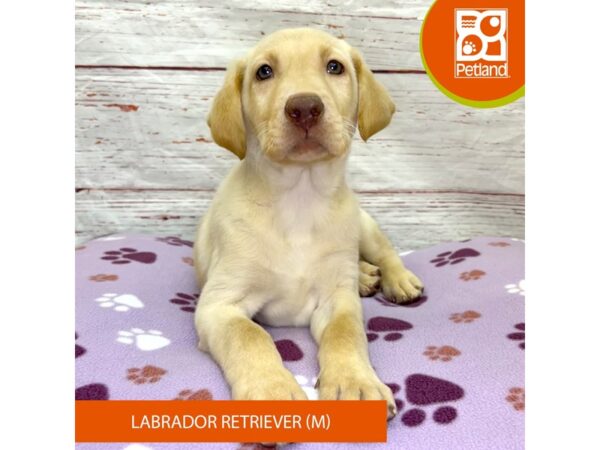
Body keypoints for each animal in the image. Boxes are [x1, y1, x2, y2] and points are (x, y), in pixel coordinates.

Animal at [193, 28, 422, 416]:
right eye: (264, 72)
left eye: (335, 66)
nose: (304, 108)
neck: (299, 198)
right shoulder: (219, 305)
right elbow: (250, 336)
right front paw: (271, 392)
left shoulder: (337, 300)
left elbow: (346, 333)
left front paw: (355, 382)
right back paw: (365, 277)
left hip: (361, 224)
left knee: (384, 252)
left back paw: (395, 279)